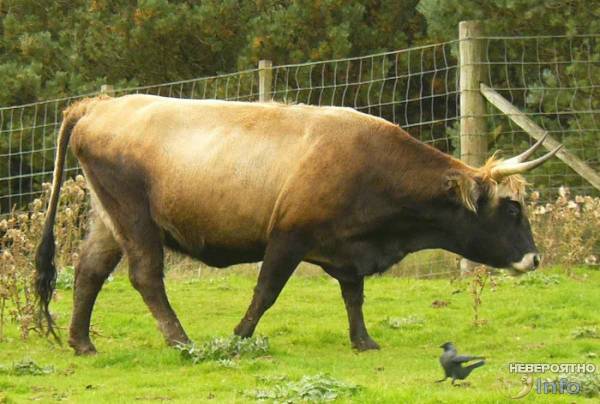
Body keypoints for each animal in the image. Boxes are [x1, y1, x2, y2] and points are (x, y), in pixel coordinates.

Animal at [35, 94, 560, 354]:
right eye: (512, 208)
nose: (535, 258)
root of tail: (99, 105)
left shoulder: (347, 250)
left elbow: (354, 296)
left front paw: (363, 341)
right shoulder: (288, 236)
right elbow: (266, 290)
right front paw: (240, 337)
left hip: (109, 220)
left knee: (89, 273)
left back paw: (82, 343)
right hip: (135, 217)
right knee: (145, 276)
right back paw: (180, 340)